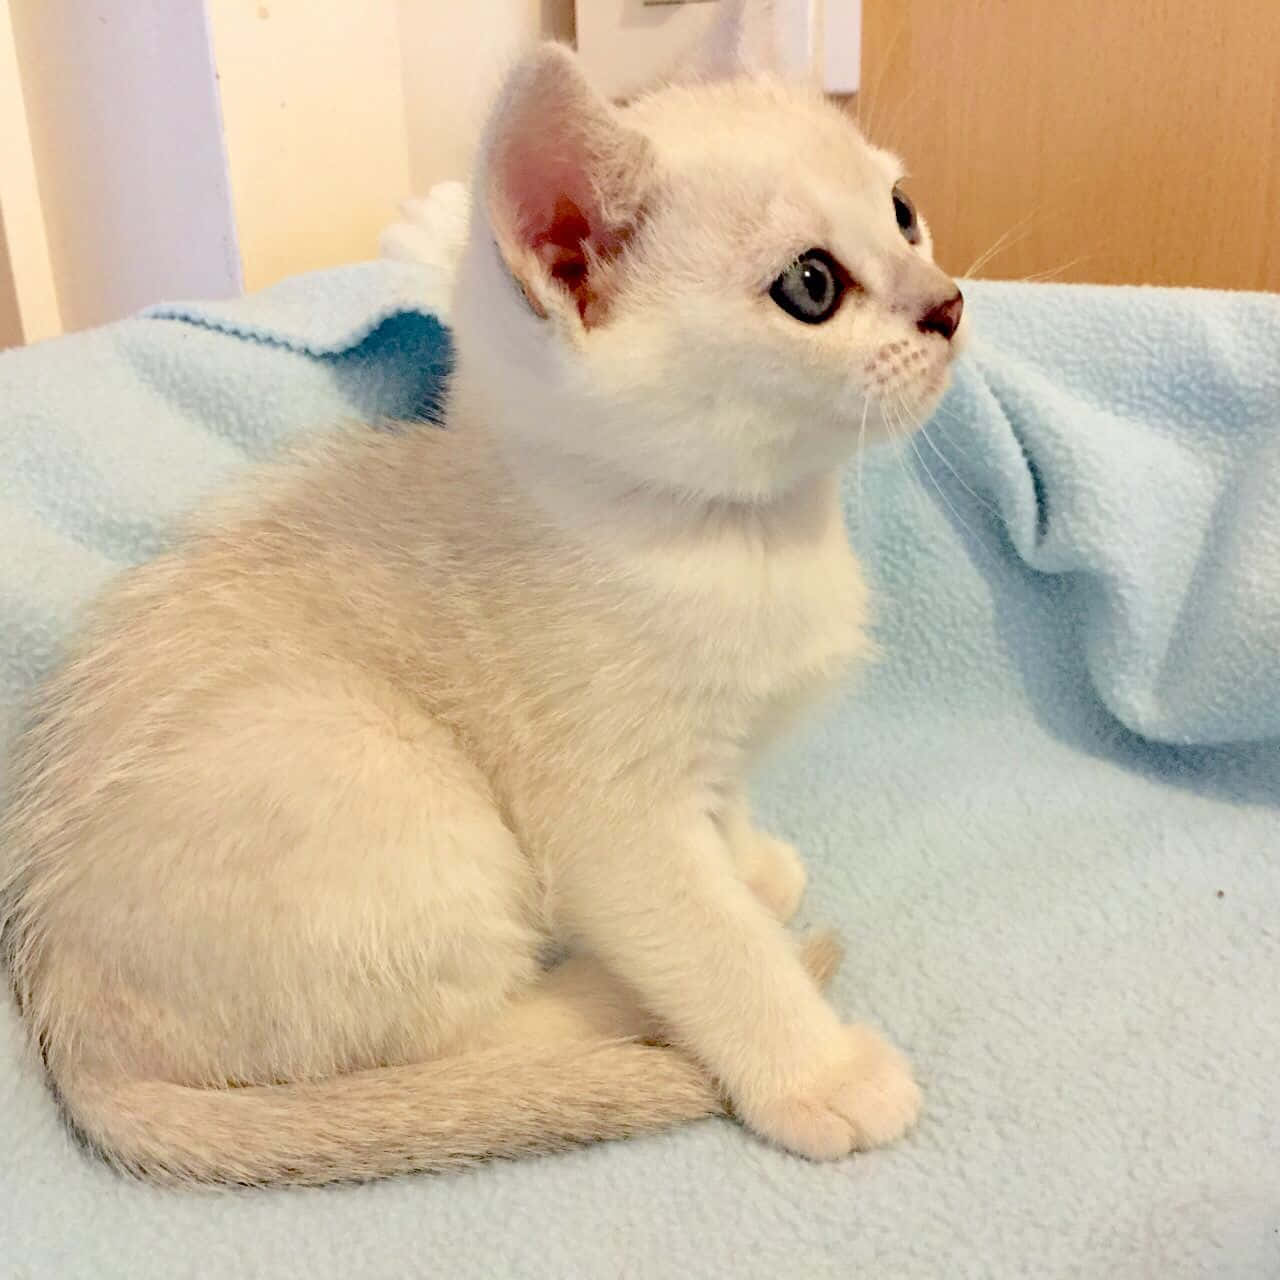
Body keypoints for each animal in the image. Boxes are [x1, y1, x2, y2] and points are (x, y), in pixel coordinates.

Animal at [0, 0, 962, 1182]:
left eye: (902, 213)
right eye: (812, 286)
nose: (948, 305)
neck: (746, 536)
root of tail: (73, 1037)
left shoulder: (716, 738)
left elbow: (726, 812)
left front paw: (748, 863)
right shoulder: (611, 813)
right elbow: (709, 940)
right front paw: (814, 1064)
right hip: (384, 781)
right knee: (442, 1047)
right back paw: (607, 1000)